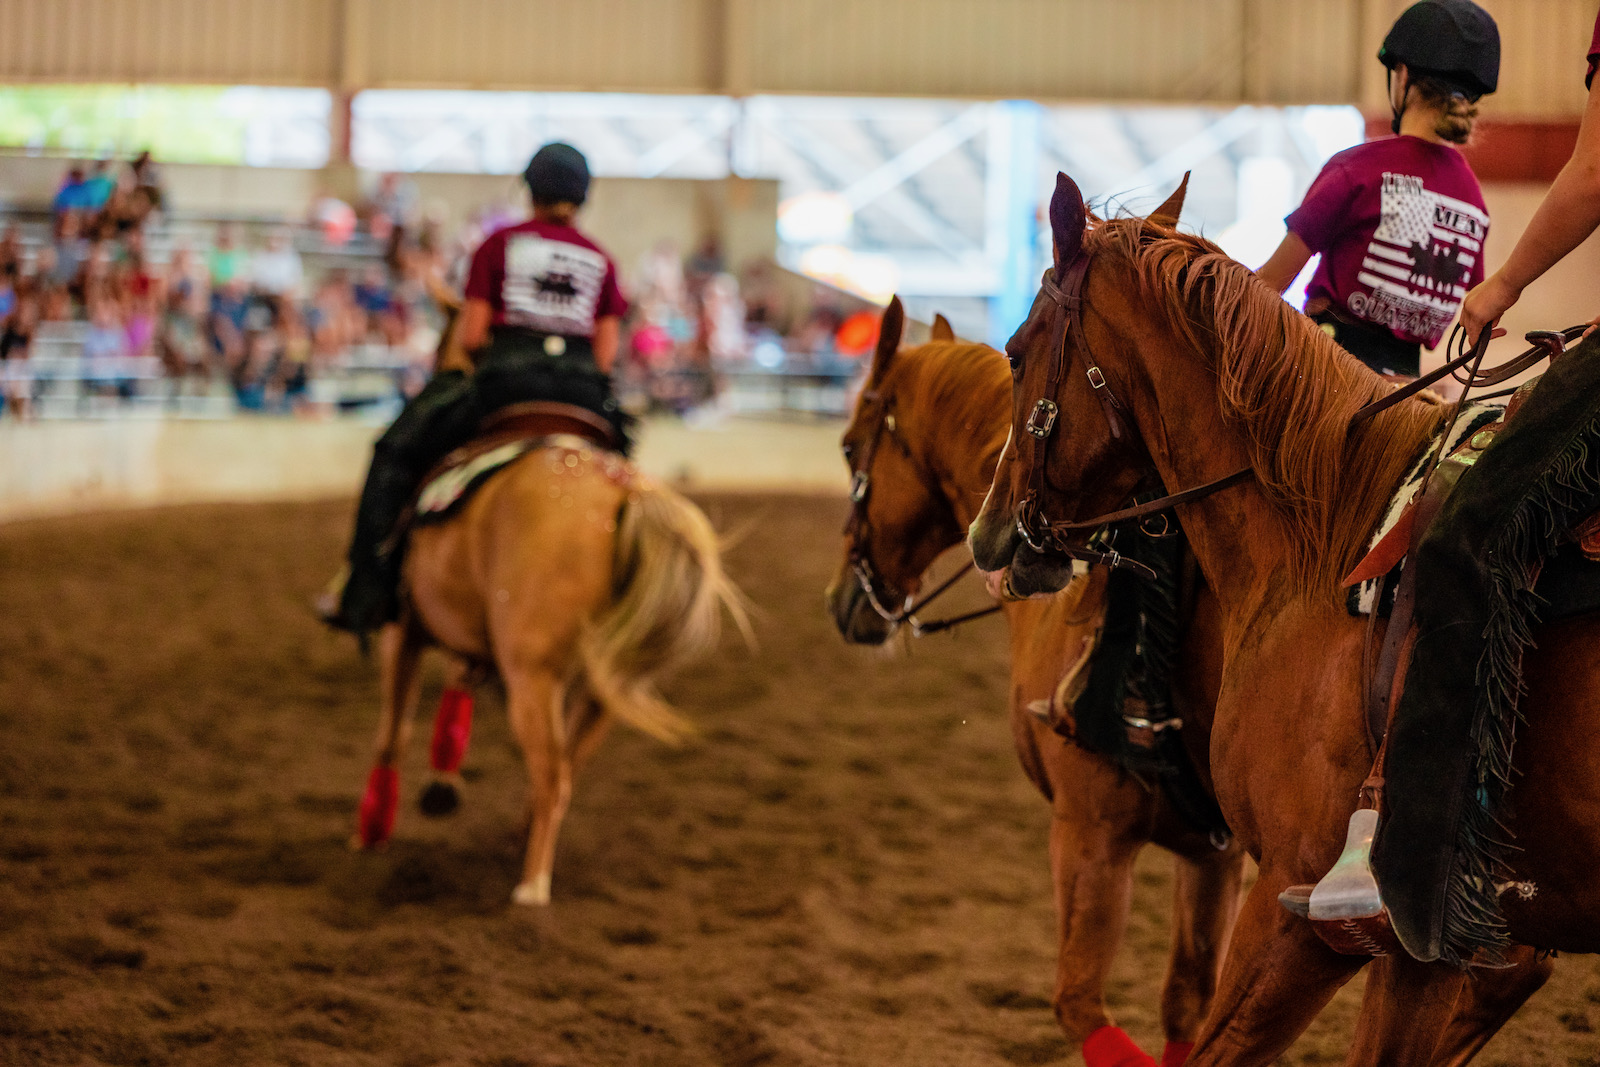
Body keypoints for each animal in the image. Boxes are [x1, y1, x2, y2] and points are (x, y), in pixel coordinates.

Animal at [353, 438, 739, 908]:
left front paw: (371, 832)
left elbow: (392, 733)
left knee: (552, 777)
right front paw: (440, 788)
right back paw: (521, 840)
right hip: (602, 690)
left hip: (533, 679)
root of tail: (626, 489)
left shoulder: (403, 629)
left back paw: (531, 887)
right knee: (564, 771)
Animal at [832, 294, 1241, 1067]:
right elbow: (1187, 1003)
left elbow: (1079, 1003)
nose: (843, 601)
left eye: (847, 447)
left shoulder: (1087, 837)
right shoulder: (1212, 855)